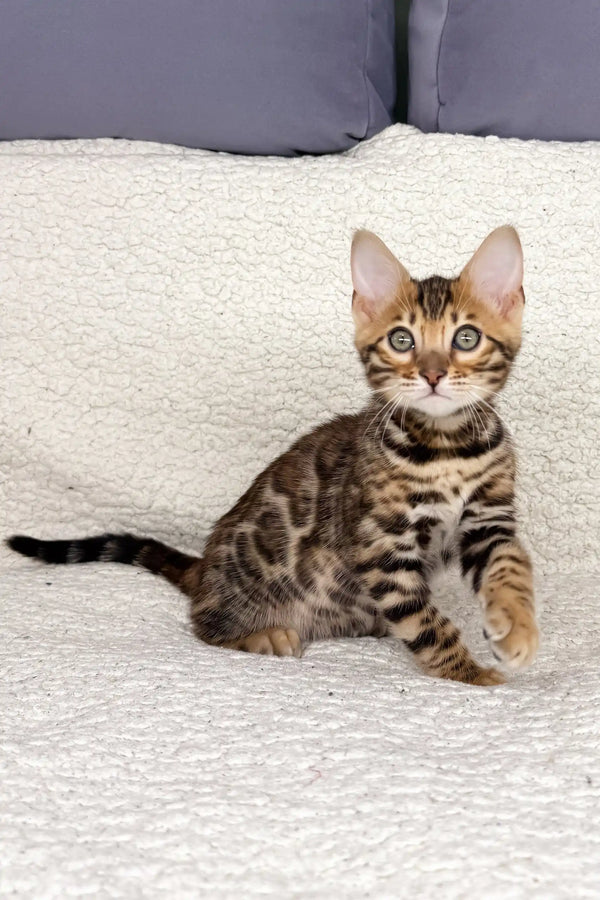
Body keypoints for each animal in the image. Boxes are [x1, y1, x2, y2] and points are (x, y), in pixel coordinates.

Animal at [5, 225, 540, 684]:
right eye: (401, 339)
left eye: (466, 337)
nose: (432, 374)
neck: (448, 446)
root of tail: (202, 570)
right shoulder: (382, 547)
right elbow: (427, 622)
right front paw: (468, 673)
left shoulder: (487, 519)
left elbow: (511, 567)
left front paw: (517, 629)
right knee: (203, 625)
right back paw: (263, 635)